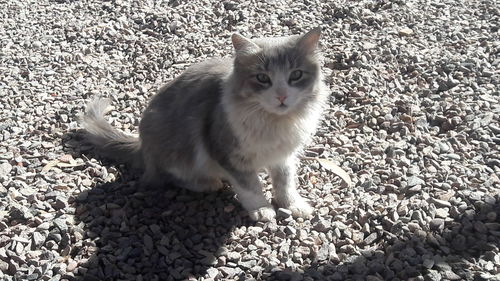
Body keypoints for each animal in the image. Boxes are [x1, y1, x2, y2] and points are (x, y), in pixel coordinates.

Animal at [80, 27, 330, 221]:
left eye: (295, 75)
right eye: (262, 78)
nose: (281, 96)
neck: (275, 122)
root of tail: (142, 145)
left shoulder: (284, 156)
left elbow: (285, 183)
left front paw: (293, 205)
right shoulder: (227, 153)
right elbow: (249, 186)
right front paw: (261, 209)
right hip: (180, 154)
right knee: (166, 176)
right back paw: (208, 183)